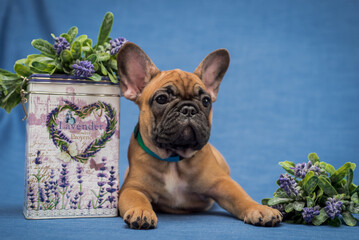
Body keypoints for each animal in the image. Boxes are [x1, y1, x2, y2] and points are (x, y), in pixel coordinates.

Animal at [116, 42, 282, 229]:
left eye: (206, 101)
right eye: (161, 99)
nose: (189, 109)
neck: (174, 159)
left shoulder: (222, 182)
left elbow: (241, 197)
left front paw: (260, 209)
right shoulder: (132, 188)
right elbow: (136, 199)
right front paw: (141, 211)